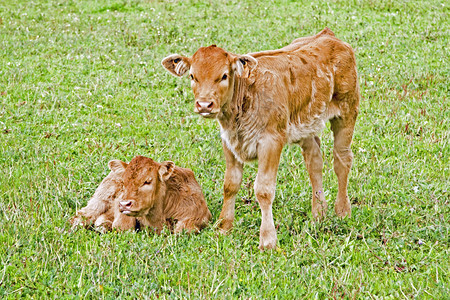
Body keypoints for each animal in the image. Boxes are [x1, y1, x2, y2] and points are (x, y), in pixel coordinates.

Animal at [163, 28, 360, 250]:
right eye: (192, 76)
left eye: (224, 75)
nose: (204, 105)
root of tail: (329, 35)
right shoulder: (228, 141)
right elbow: (230, 184)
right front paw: (224, 226)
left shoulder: (271, 141)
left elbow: (264, 190)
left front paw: (268, 240)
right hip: (306, 125)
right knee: (314, 162)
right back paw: (319, 213)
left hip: (347, 111)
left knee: (342, 160)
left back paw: (342, 211)